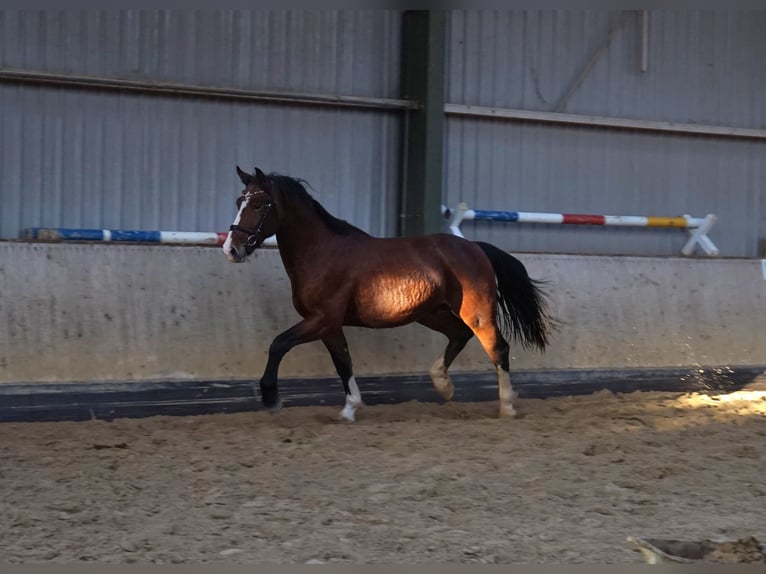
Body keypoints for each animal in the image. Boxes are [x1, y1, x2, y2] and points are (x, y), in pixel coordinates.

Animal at [222, 166, 552, 424]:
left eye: (258, 204)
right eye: (239, 201)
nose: (231, 249)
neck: (321, 252)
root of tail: (475, 247)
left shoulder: (321, 319)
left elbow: (278, 344)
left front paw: (271, 398)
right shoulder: (330, 326)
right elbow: (343, 362)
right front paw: (349, 409)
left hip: (477, 312)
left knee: (497, 348)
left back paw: (507, 405)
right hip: (431, 313)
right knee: (459, 335)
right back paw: (443, 385)